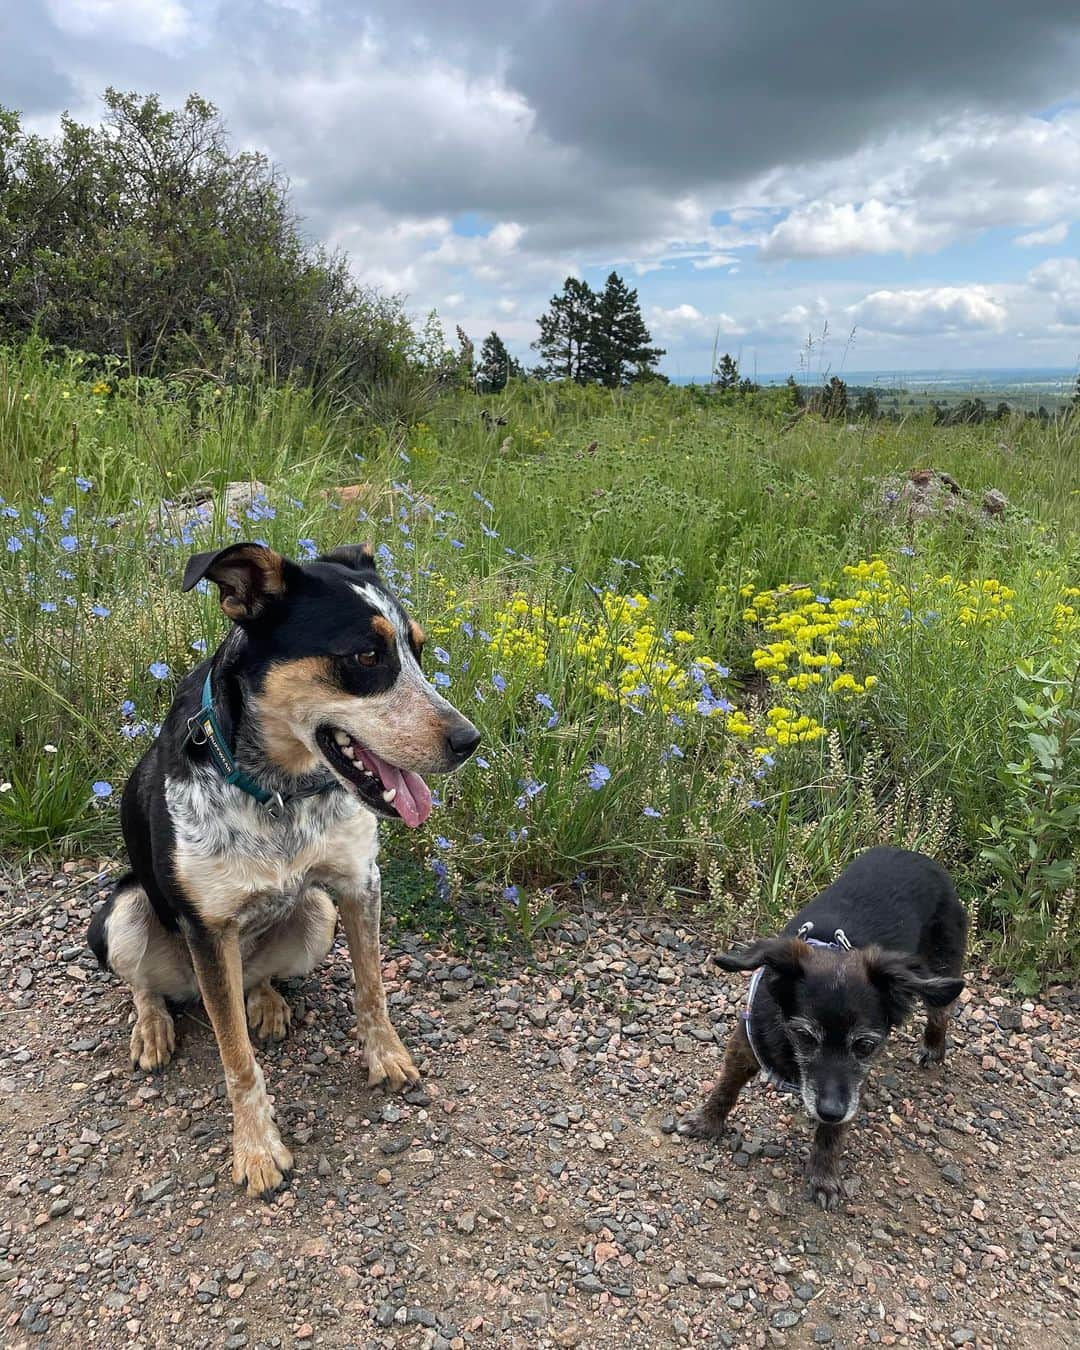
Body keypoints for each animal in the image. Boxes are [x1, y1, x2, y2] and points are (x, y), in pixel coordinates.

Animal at [90, 542, 477, 1198]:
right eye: (367, 656)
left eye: (418, 651)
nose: (469, 740)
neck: (278, 789)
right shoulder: (207, 928)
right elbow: (236, 1059)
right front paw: (256, 1149)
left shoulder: (357, 884)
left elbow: (373, 989)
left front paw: (387, 1058)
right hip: (122, 910)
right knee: (145, 984)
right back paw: (153, 1027)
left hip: (316, 915)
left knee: (257, 976)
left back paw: (267, 1001)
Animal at [680, 847, 966, 1209]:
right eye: (804, 1036)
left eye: (865, 1045)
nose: (829, 1111)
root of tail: (918, 856)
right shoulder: (745, 1043)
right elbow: (726, 1088)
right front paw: (707, 1121)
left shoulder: (853, 1085)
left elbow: (834, 1132)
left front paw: (824, 1174)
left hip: (941, 967)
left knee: (940, 1011)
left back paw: (933, 1047)